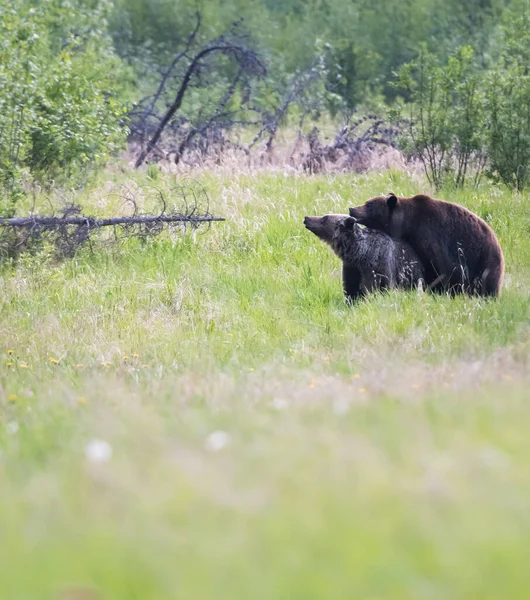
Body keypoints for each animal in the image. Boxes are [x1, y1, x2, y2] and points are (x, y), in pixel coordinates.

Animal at [348, 193, 502, 296]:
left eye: (368, 204)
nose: (352, 208)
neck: (408, 224)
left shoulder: (429, 235)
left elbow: (439, 267)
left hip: (484, 261)